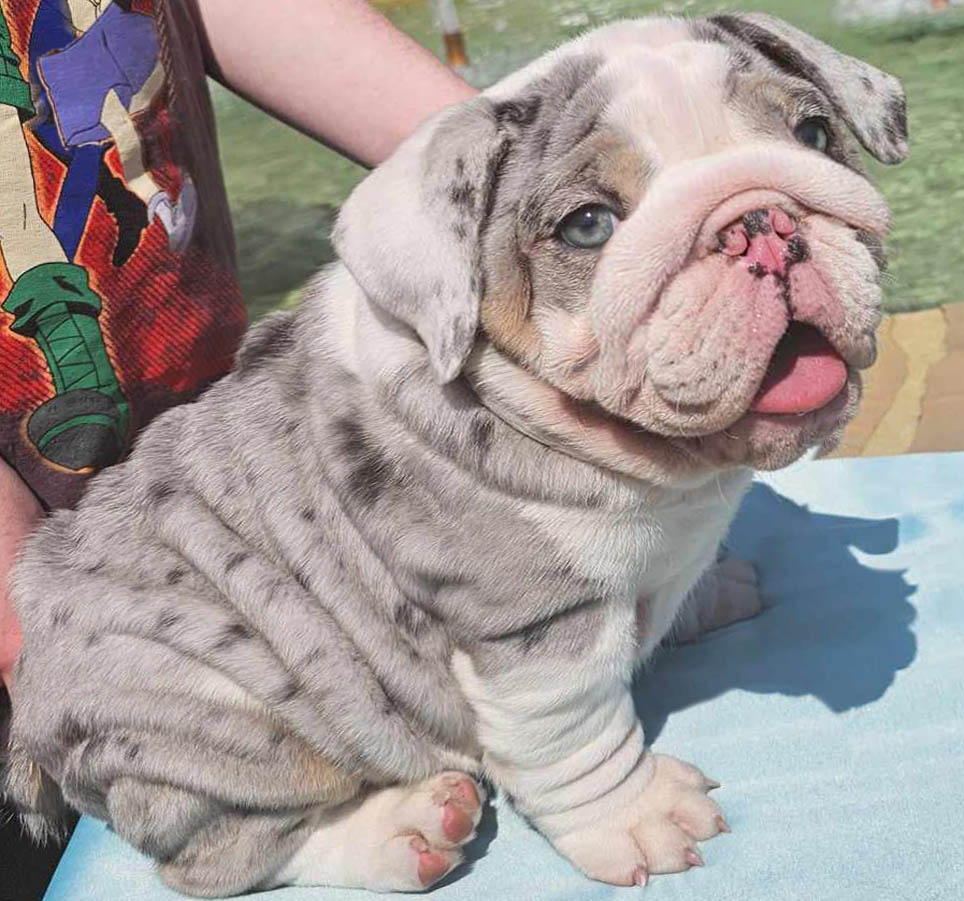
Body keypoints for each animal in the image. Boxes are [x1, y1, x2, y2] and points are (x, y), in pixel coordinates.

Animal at [5, 12, 904, 892]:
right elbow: (582, 738)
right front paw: (640, 817)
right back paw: (404, 831)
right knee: (229, 852)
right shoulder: (538, 631)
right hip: (224, 717)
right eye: (589, 225)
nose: (761, 219)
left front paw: (710, 593)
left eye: (814, 132)